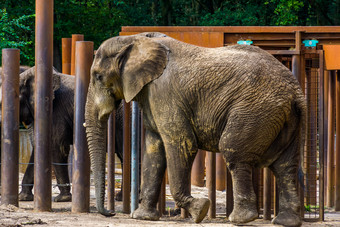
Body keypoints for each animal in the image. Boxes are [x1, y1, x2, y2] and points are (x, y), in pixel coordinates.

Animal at [0, 67, 123, 202]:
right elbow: (39, 147)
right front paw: (23, 197)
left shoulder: (56, 110)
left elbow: (57, 147)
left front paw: (62, 199)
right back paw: (120, 197)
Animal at [84, 32, 306, 227]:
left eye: (98, 77)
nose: (111, 213)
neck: (134, 39)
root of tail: (296, 92)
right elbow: (154, 150)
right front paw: (143, 217)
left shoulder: (164, 93)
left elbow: (182, 143)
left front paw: (200, 210)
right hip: (285, 118)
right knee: (284, 165)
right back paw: (286, 221)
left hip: (255, 111)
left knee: (234, 153)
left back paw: (240, 219)